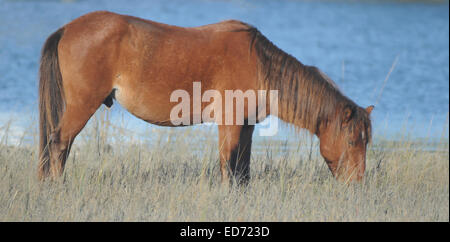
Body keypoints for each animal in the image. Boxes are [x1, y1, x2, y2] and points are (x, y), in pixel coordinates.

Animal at [37, 10, 372, 184]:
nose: (357, 184)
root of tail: (67, 29)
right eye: (352, 141)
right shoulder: (230, 123)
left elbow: (242, 167)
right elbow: (227, 163)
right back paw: (57, 187)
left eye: (365, 142)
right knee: (59, 144)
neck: (260, 65)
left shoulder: (246, 125)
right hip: (82, 105)